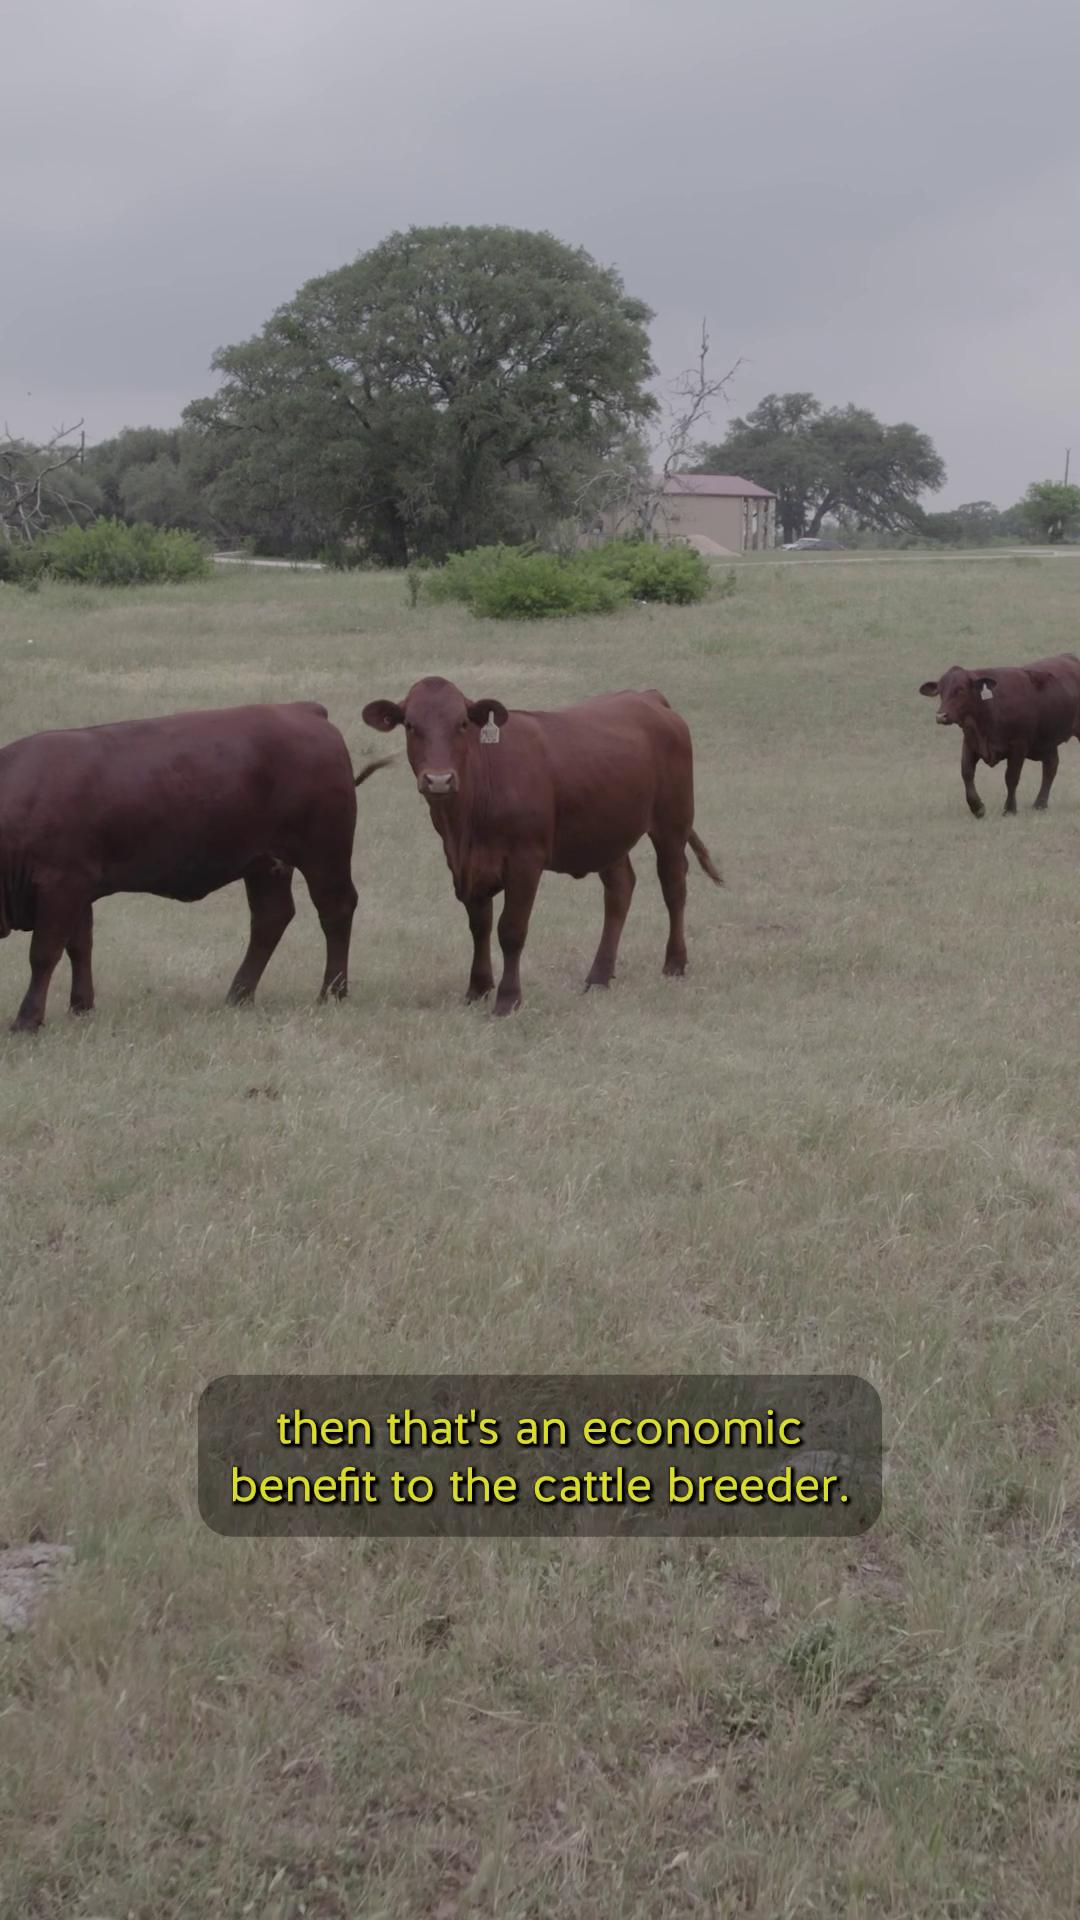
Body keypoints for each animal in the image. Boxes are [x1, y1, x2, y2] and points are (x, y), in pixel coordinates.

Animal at [0, 701, 394, 1033]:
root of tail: (304, 710)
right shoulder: (78, 889)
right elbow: (80, 946)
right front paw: (81, 1007)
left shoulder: (62, 885)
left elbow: (44, 953)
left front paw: (27, 1020)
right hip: (266, 864)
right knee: (271, 918)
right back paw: (239, 994)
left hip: (324, 853)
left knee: (335, 910)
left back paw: (332, 992)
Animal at [362, 676, 722, 1015]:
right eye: (410, 725)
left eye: (462, 723)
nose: (439, 780)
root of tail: (648, 697)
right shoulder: (465, 865)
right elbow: (479, 926)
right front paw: (477, 989)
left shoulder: (525, 860)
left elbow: (511, 929)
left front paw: (508, 999)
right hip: (607, 833)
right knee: (620, 890)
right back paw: (599, 976)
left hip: (672, 823)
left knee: (673, 887)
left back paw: (674, 963)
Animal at [919, 653, 1080, 818]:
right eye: (940, 691)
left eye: (961, 689)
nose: (941, 716)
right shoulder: (970, 742)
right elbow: (967, 773)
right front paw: (977, 807)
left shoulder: (1018, 745)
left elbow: (1011, 777)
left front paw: (1010, 809)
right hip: (1047, 742)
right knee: (1050, 767)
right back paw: (1039, 804)